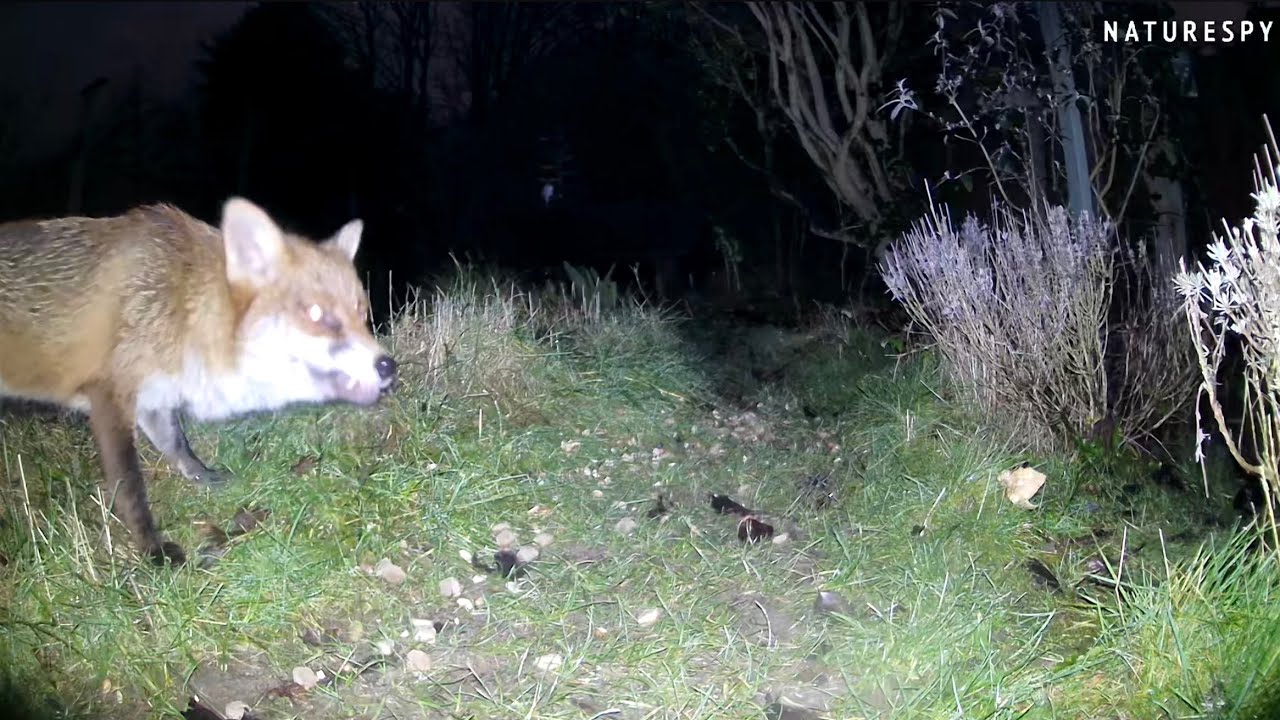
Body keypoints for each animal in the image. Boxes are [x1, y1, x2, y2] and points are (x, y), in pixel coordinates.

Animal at [0, 197, 397, 566]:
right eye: (316, 314)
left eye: (362, 313)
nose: (388, 366)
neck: (180, 305)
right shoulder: (110, 396)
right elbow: (130, 488)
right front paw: (152, 549)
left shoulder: (156, 397)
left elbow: (179, 446)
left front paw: (203, 478)